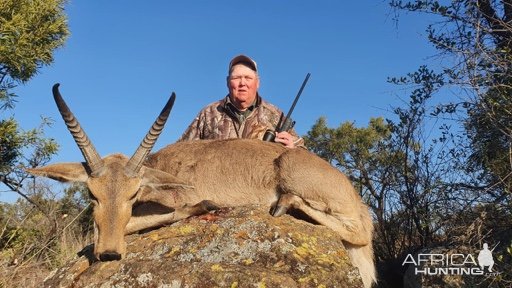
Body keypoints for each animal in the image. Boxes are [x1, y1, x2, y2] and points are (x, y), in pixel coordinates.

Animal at [29, 84, 376, 286]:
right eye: (92, 194)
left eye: (133, 193)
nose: (110, 254)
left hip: (296, 174)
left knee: (357, 231)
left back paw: (283, 204)